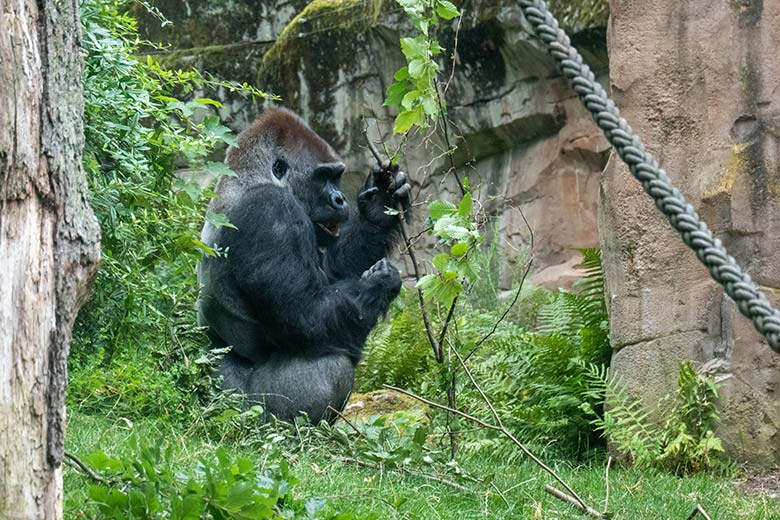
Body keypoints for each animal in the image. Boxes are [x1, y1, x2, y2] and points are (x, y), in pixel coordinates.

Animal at [198, 108, 412, 422]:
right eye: (323, 177)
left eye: (337, 177)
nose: (340, 199)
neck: (249, 181)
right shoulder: (272, 212)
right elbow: (309, 316)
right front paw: (381, 284)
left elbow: (334, 273)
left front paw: (378, 208)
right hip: (248, 414)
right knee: (332, 362)